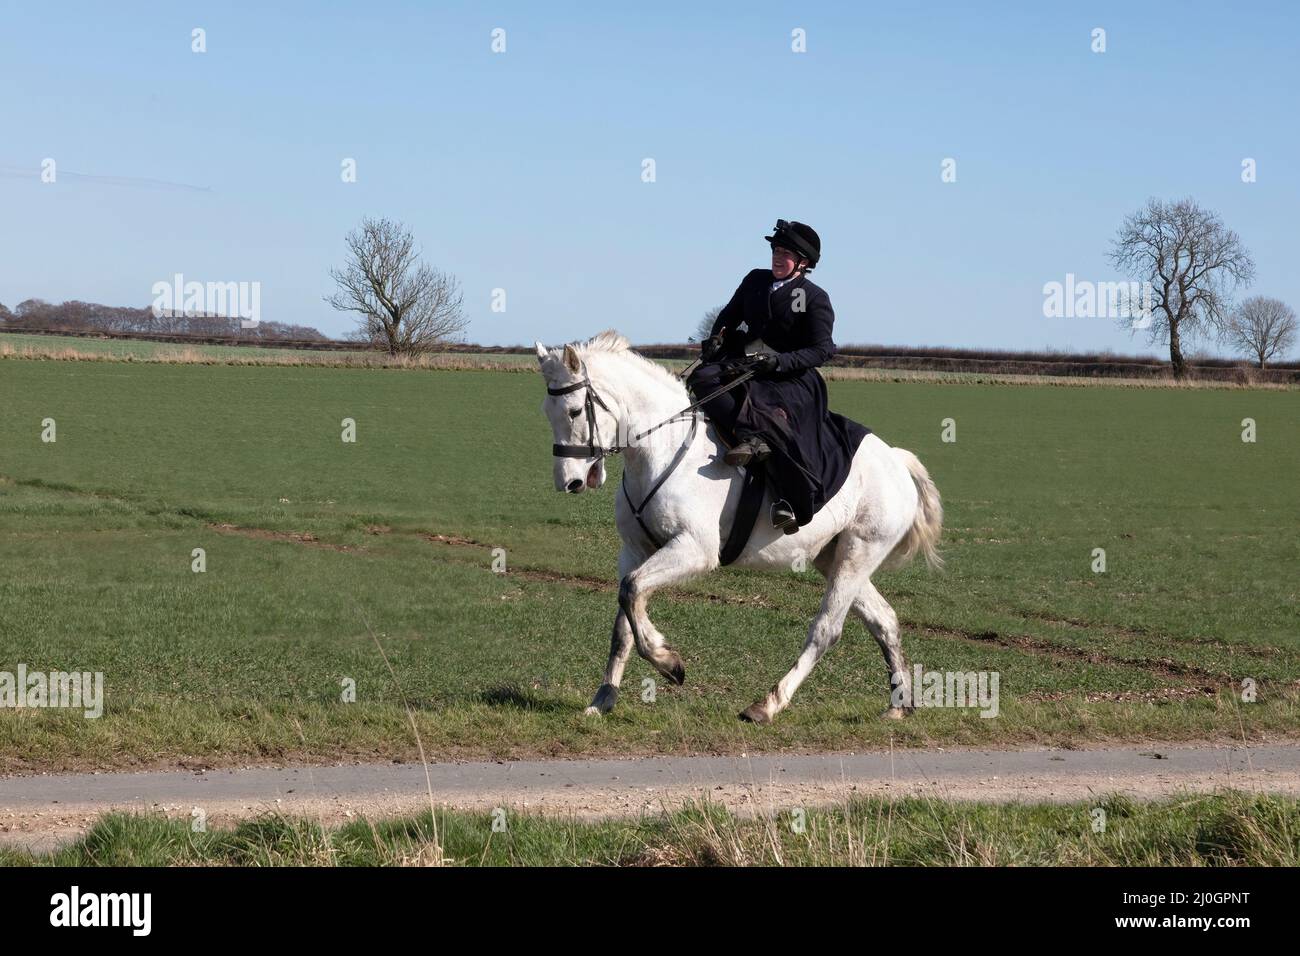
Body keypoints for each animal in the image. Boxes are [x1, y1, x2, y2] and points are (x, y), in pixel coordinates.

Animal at [535, 330, 943, 723]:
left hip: (860, 552)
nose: (568, 482)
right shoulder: (635, 551)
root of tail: (895, 460)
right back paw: (898, 706)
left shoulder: (694, 550)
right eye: (547, 412)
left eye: (575, 410)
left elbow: (632, 590)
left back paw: (767, 705)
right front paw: (603, 700)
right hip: (834, 557)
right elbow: (624, 620)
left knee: (826, 629)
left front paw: (669, 662)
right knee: (884, 619)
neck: (660, 450)